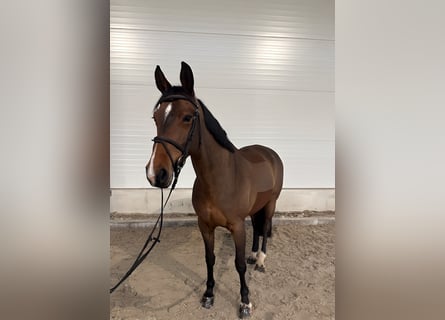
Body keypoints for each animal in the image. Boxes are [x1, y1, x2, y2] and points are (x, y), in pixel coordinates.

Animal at [146, 62, 284, 318]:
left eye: (187, 117)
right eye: (155, 117)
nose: (155, 174)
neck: (219, 180)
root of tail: (268, 152)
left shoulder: (237, 227)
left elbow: (238, 265)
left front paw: (245, 302)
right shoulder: (205, 226)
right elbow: (209, 259)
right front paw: (209, 294)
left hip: (271, 204)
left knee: (265, 227)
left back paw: (260, 260)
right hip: (256, 207)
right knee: (257, 228)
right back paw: (253, 255)